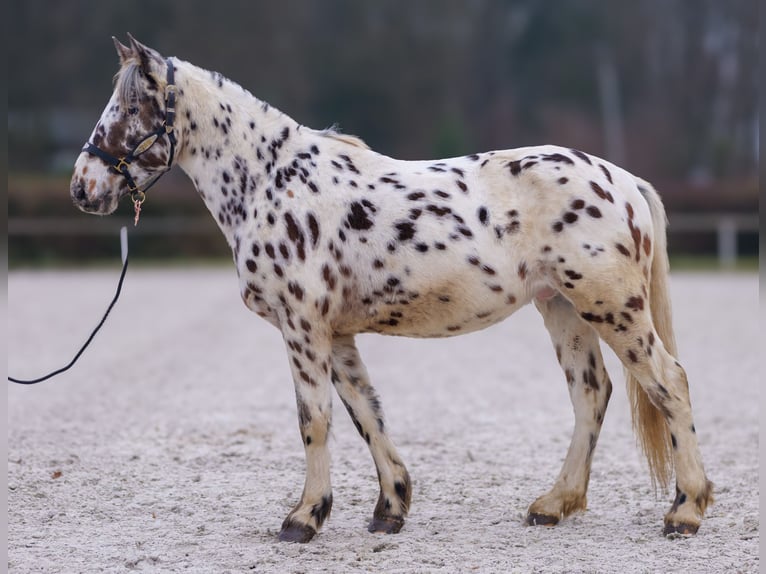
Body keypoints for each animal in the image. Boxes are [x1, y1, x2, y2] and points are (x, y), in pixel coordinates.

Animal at [70, 37, 712, 544]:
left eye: (131, 107)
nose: (82, 186)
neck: (273, 182)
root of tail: (622, 180)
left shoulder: (303, 326)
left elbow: (315, 419)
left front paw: (304, 517)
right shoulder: (336, 334)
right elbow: (365, 412)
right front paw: (390, 508)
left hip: (611, 308)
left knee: (669, 383)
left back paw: (686, 510)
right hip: (563, 308)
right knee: (590, 394)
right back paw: (555, 504)